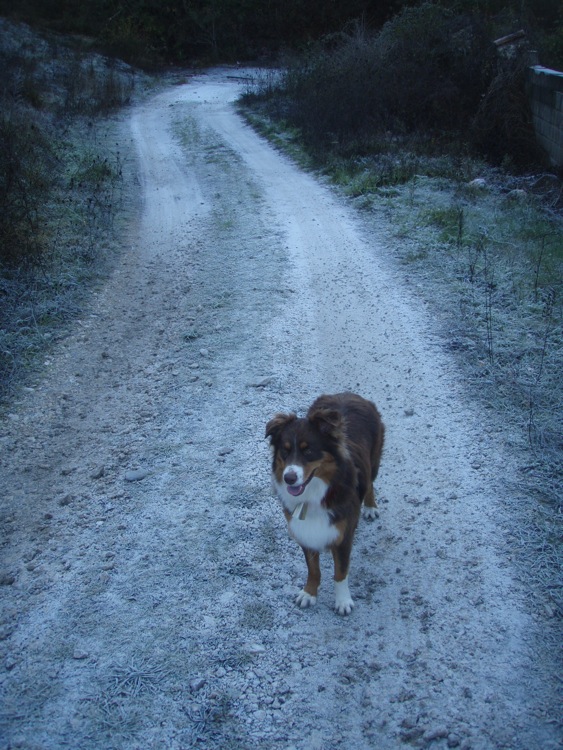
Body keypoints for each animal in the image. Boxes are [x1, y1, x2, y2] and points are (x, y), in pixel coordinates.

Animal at [266, 394, 386, 616]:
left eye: (308, 451)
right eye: (285, 452)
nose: (289, 478)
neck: (317, 493)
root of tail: (349, 394)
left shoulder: (343, 535)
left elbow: (341, 572)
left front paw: (343, 601)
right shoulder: (304, 530)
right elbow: (313, 569)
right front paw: (309, 593)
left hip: (374, 461)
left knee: (370, 483)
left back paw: (370, 507)